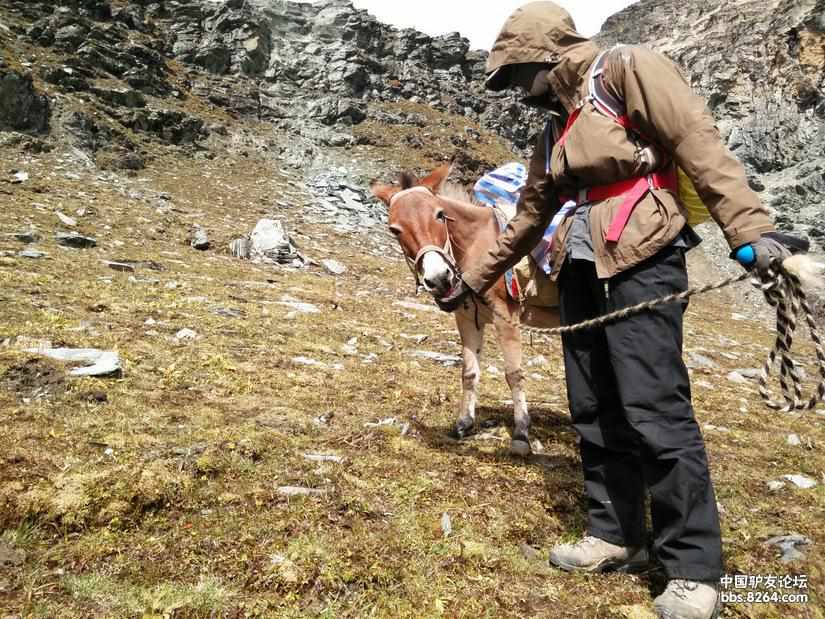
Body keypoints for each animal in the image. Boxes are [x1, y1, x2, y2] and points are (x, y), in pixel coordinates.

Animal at [372, 165, 560, 456]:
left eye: (440, 215)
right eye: (395, 230)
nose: (439, 278)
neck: (478, 245)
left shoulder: (506, 317)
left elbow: (513, 374)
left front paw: (521, 433)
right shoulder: (467, 317)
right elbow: (469, 372)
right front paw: (464, 423)